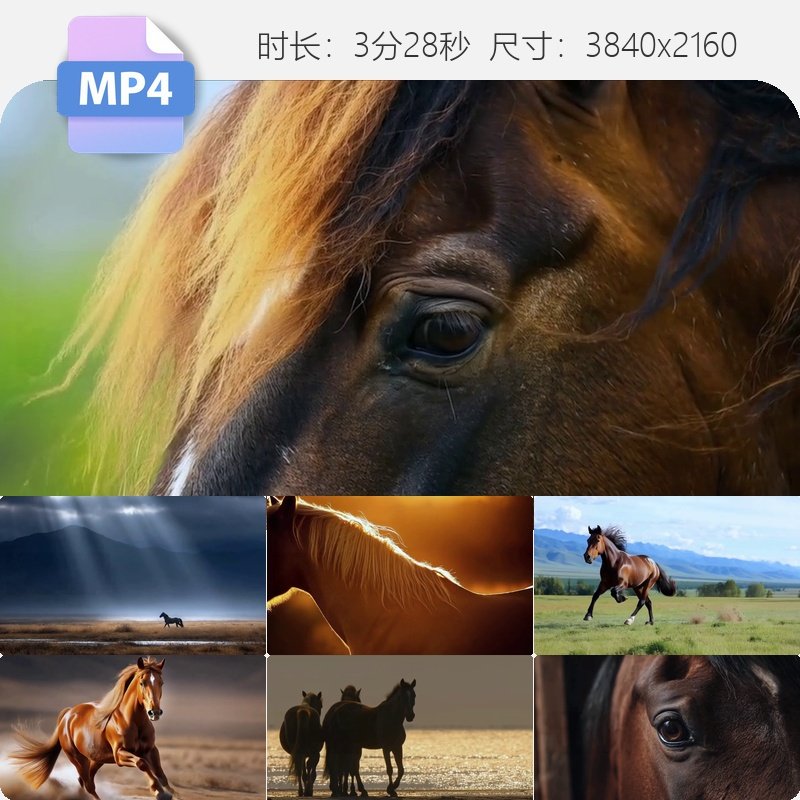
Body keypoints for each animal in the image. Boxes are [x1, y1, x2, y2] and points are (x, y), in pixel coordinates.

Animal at [9, 657, 173, 800]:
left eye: (162, 683)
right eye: (142, 682)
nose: (154, 712)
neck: (133, 722)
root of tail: (68, 715)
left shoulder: (150, 750)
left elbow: (161, 774)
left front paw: (169, 792)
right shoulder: (119, 754)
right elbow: (141, 763)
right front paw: (159, 792)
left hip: (97, 759)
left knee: (85, 781)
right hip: (78, 759)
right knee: (88, 785)